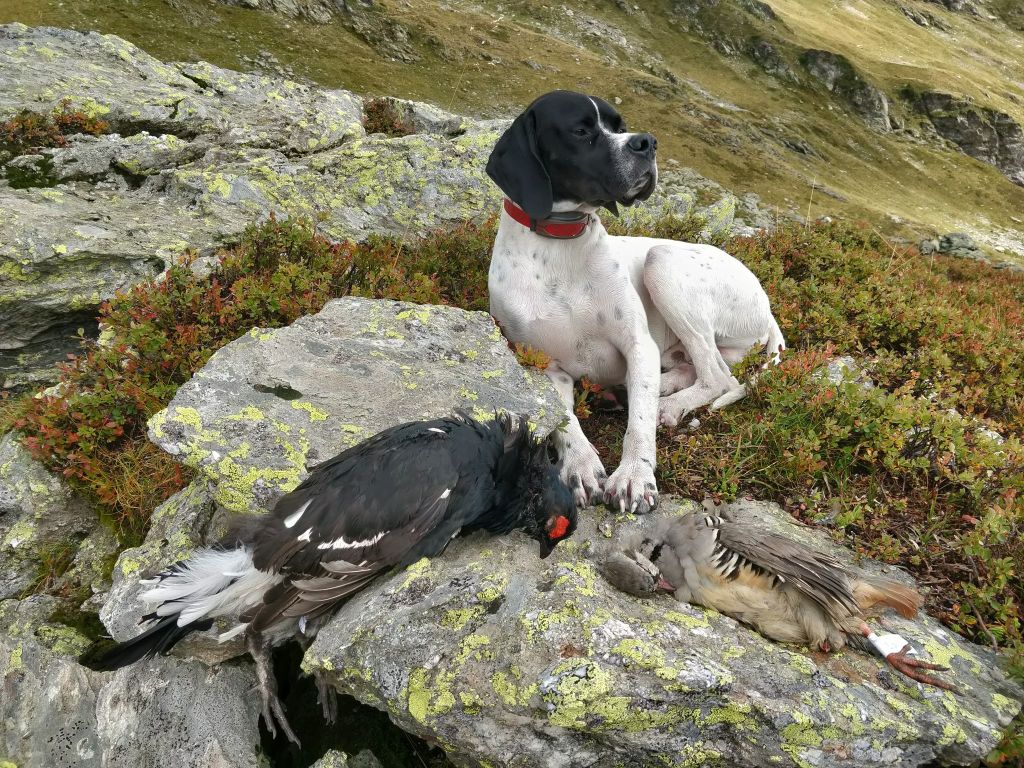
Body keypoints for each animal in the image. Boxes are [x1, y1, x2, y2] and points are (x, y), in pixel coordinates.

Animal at [487, 91, 782, 518]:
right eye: (581, 131)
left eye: (620, 125)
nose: (647, 142)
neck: (561, 245)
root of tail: (768, 307)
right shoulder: (543, 366)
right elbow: (565, 421)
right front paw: (581, 465)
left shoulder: (639, 345)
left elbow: (638, 425)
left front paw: (634, 477)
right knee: (701, 368)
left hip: (663, 263)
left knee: (718, 377)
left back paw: (666, 405)